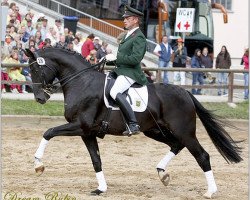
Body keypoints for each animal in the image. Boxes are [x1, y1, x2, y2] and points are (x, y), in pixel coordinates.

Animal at [24, 47, 241, 198]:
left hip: (185, 132)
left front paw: (38, 165)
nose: (40, 98)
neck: (82, 82)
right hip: (155, 131)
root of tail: (185, 92)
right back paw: (162, 174)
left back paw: (210, 191)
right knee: (176, 145)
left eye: (35, 68)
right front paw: (101, 188)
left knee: (202, 155)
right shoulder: (88, 133)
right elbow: (96, 160)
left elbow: (49, 132)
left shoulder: (81, 126)